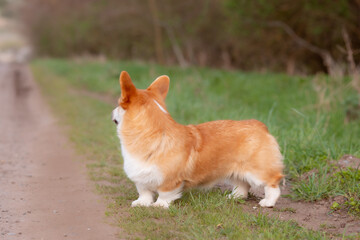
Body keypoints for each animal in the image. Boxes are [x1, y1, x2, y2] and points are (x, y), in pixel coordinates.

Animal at [112, 71, 284, 208]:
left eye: (119, 104)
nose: (113, 111)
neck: (152, 134)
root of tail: (260, 125)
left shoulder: (170, 181)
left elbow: (165, 194)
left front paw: (160, 205)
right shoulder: (140, 179)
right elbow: (144, 192)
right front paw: (142, 203)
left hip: (258, 171)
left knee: (273, 183)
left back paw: (268, 202)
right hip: (236, 170)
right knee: (243, 184)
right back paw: (234, 196)